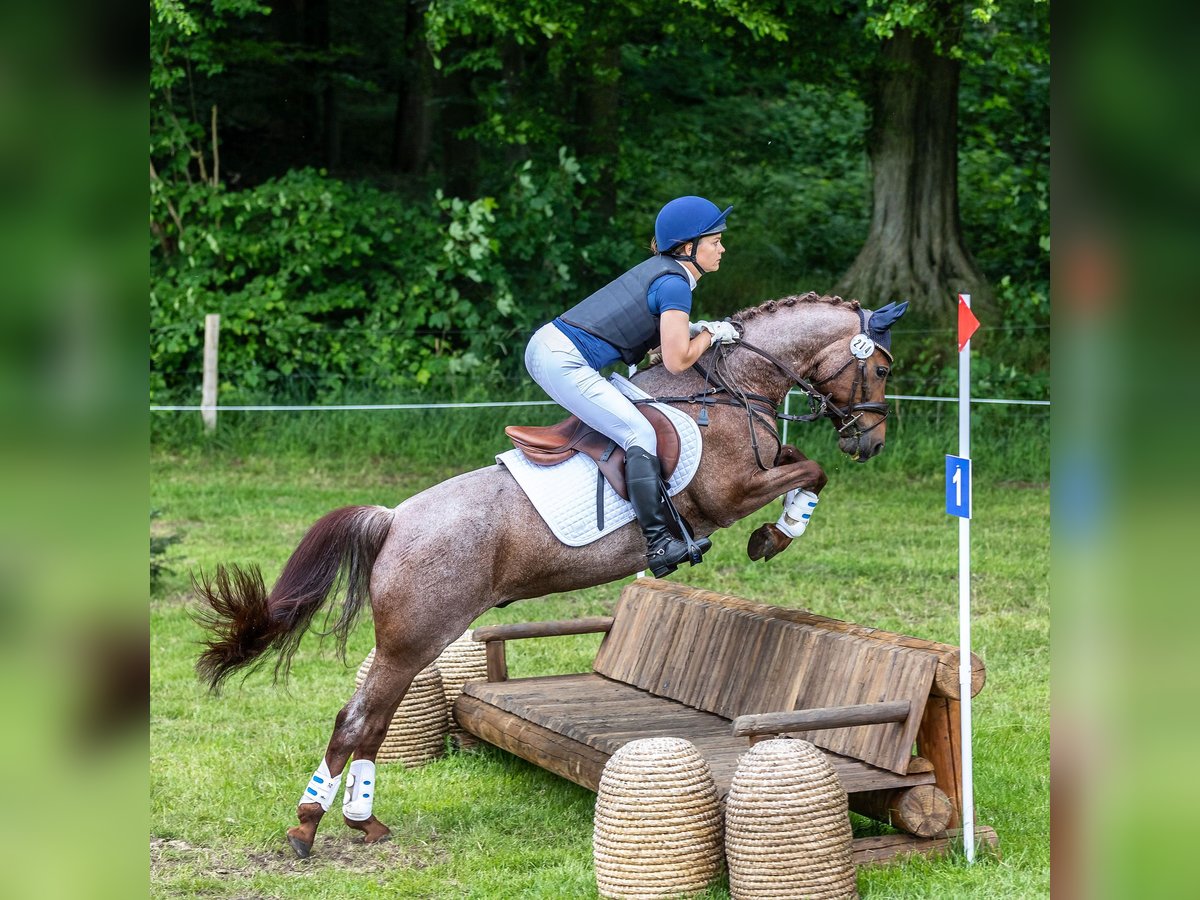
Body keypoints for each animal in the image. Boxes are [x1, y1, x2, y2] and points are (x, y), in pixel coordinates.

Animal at [194, 290, 907, 859]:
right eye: (880, 367)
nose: (869, 442)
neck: (730, 388)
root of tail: (393, 520)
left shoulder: (756, 471)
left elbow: (802, 461)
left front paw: (778, 530)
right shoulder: (728, 495)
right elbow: (811, 469)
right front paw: (772, 537)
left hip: (411, 643)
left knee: (370, 723)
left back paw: (362, 824)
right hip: (412, 639)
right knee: (356, 720)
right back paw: (308, 827)